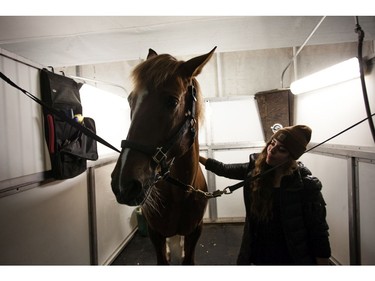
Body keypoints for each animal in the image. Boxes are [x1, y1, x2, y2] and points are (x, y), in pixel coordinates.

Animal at [111, 47, 217, 264]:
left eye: (172, 101)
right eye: (130, 100)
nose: (124, 185)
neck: (180, 192)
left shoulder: (195, 232)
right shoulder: (155, 233)